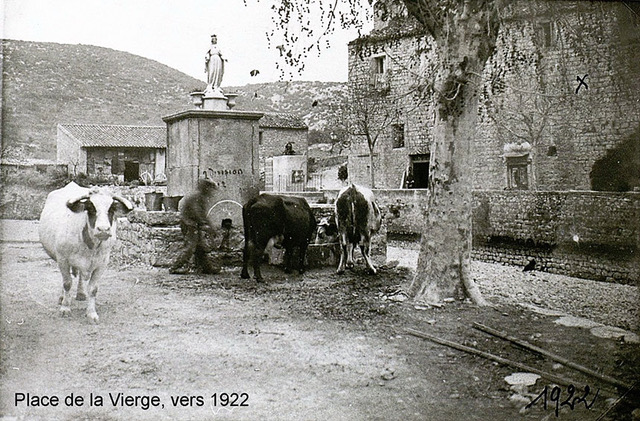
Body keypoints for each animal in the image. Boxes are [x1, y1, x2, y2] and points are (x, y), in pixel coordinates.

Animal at [39, 182, 133, 323]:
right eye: (91, 208)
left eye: (111, 210)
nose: (103, 229)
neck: (90, 246)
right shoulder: (62, 260)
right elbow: (67, 283)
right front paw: (65, 308)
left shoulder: (102, 264)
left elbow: (93, 289)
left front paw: (91, 313)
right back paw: (62, 298)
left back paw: (81, 293)